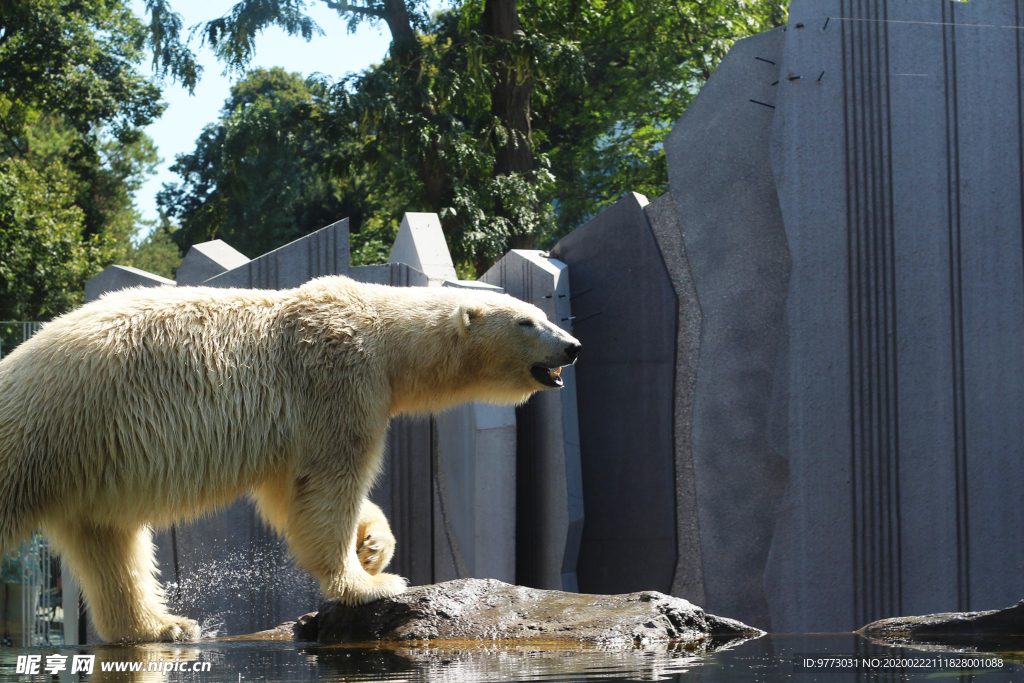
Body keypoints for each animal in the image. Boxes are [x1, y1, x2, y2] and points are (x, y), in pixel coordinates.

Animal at [0, 276, 581, 643]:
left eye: (544, 314)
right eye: (528, 321)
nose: (573, 346)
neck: (384, 331)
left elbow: (291, 492)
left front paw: (374, 546)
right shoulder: (338, 380)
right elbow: (329, 484)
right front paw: (370, 584)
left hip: (84, 463)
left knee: (110, 544)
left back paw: (163, 625)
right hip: (48, 430)